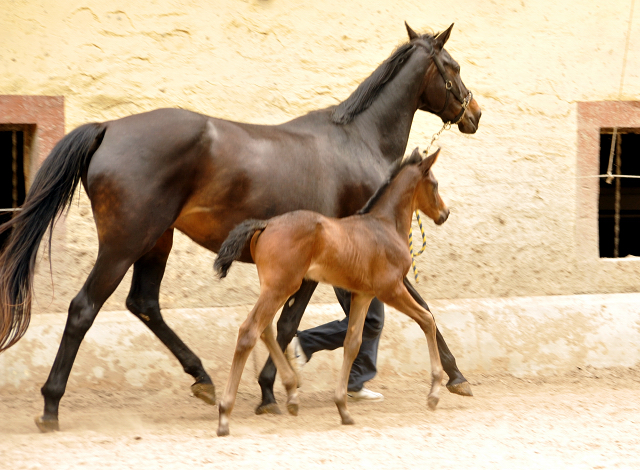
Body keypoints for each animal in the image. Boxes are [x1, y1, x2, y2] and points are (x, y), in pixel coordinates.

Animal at [212, 148, 448, 436]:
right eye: (434, 184)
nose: (445, 213)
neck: (385, 225)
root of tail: (266, 224)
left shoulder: (363, 295)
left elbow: (352, 343)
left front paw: (343, 408)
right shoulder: (390, 289)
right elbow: (428, 320)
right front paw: (434, 393)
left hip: (274, 286)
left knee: (264, 329)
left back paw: (291, 392)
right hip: (282, 286)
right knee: (250, 331)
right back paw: (225, 414)